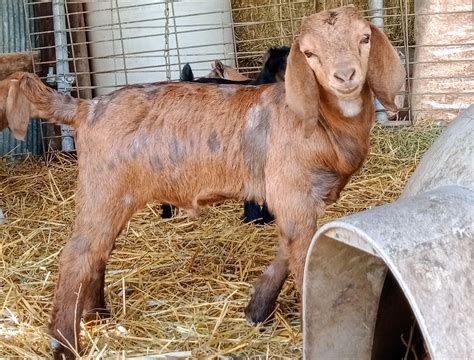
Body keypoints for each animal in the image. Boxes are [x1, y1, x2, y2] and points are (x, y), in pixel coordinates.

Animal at [0, 5, 404, 358]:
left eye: (364, 37)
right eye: (309, 52)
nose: (346, 76)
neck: (325, 124)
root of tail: (86, 107)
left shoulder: (300, 200)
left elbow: (287, 249)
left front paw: (256, 308)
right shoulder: (292, 191)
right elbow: (302, 259)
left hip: (116, 194)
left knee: (97, 251)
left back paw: (96, 315)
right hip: (103, 186)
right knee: (77, 253)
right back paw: (64, 345)